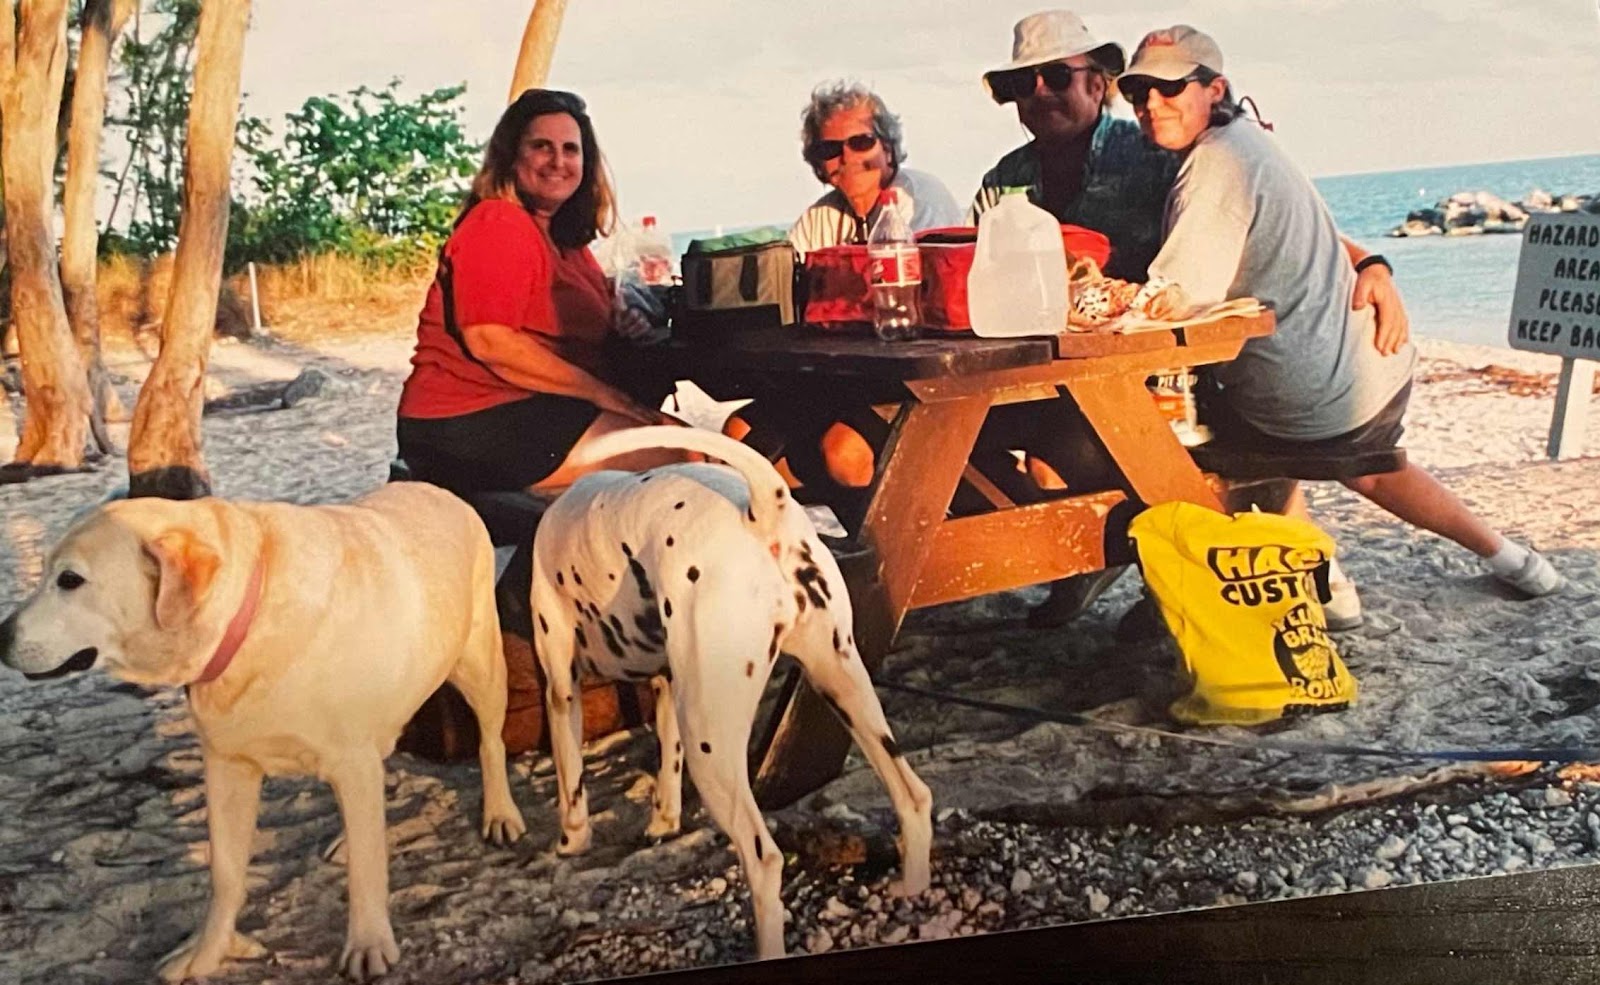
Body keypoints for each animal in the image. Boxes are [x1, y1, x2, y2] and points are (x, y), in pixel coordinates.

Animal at [0, 483, 526, 981]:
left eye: (70, 580)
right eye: (45, 573)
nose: (0, 638)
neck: (247, 618)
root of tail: (442, 491)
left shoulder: (351, 761)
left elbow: (366, 872)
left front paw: (368, 944)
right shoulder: (227, 768)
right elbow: (226, 874)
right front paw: (206, 953)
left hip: (479, 664)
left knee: (490, 741)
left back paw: (500, 813)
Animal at [530, 425, 933, 959]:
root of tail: (762, 511)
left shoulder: (562, 691)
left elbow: (570, 780)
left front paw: (571, 842)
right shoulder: (668, 687)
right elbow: (667, 767)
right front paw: (662, 823)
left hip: (714, 747)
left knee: (764, 859)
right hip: (843, 689)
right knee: (914, 797)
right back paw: (913, 891)